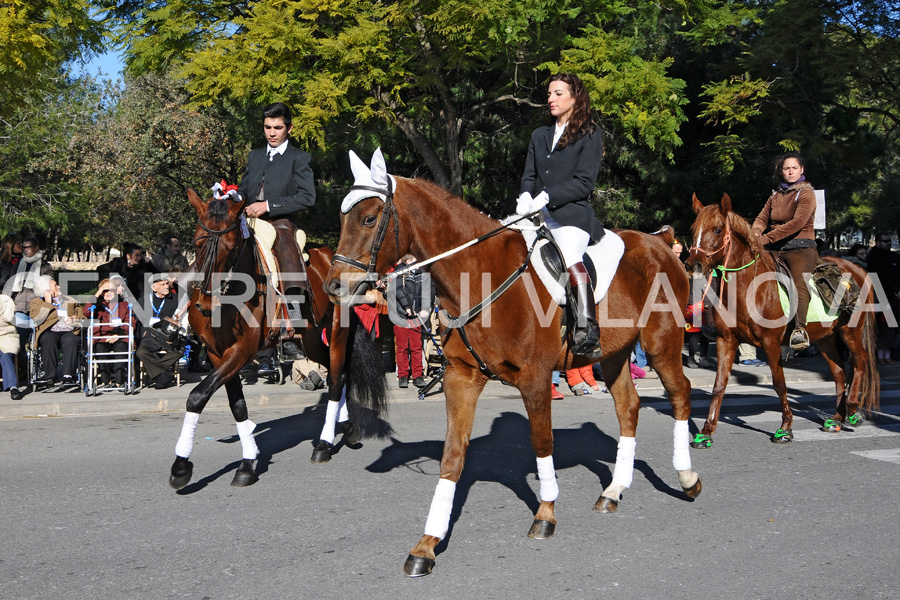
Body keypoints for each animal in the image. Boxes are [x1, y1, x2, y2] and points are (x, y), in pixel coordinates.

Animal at [167, 190, 384, 490]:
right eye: (196, 242)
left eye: (232, 247)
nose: (206, 304)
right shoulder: (216, 352)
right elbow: (237, 406)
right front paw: (247, 463)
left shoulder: (243, 349)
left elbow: (197, 396)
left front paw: (180, 467)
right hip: (312, 341)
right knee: (335, 375)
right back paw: (346, 429)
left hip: (337, 334)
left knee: (336, 378)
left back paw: (325, 443)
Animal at [326, 150, 704, 576]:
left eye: (369, 218)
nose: (334, 286)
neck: (480, 275)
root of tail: (660, 243)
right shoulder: (461, 378)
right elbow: (452, 456)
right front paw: (427, 544)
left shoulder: (535, 378)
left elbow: (541, 442)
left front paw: (546, 513)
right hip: (614, 354)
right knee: (628, 406)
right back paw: (614, 490)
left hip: (662, 343)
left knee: (679, 395)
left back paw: (687, 478)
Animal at [684, 192, 884, 446]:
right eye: (693, 229)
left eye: (718, 230)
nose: (693, 264)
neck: (749, 287)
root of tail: (858, 269)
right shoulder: (725, 340)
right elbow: (719, 384)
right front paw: (706, 432)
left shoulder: (770, 343)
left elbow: (779, 383)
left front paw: (785, 428)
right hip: (827, 338)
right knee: (839, 373)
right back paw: (836, 419)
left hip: (851, 332)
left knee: (861, 362)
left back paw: (852, 410)